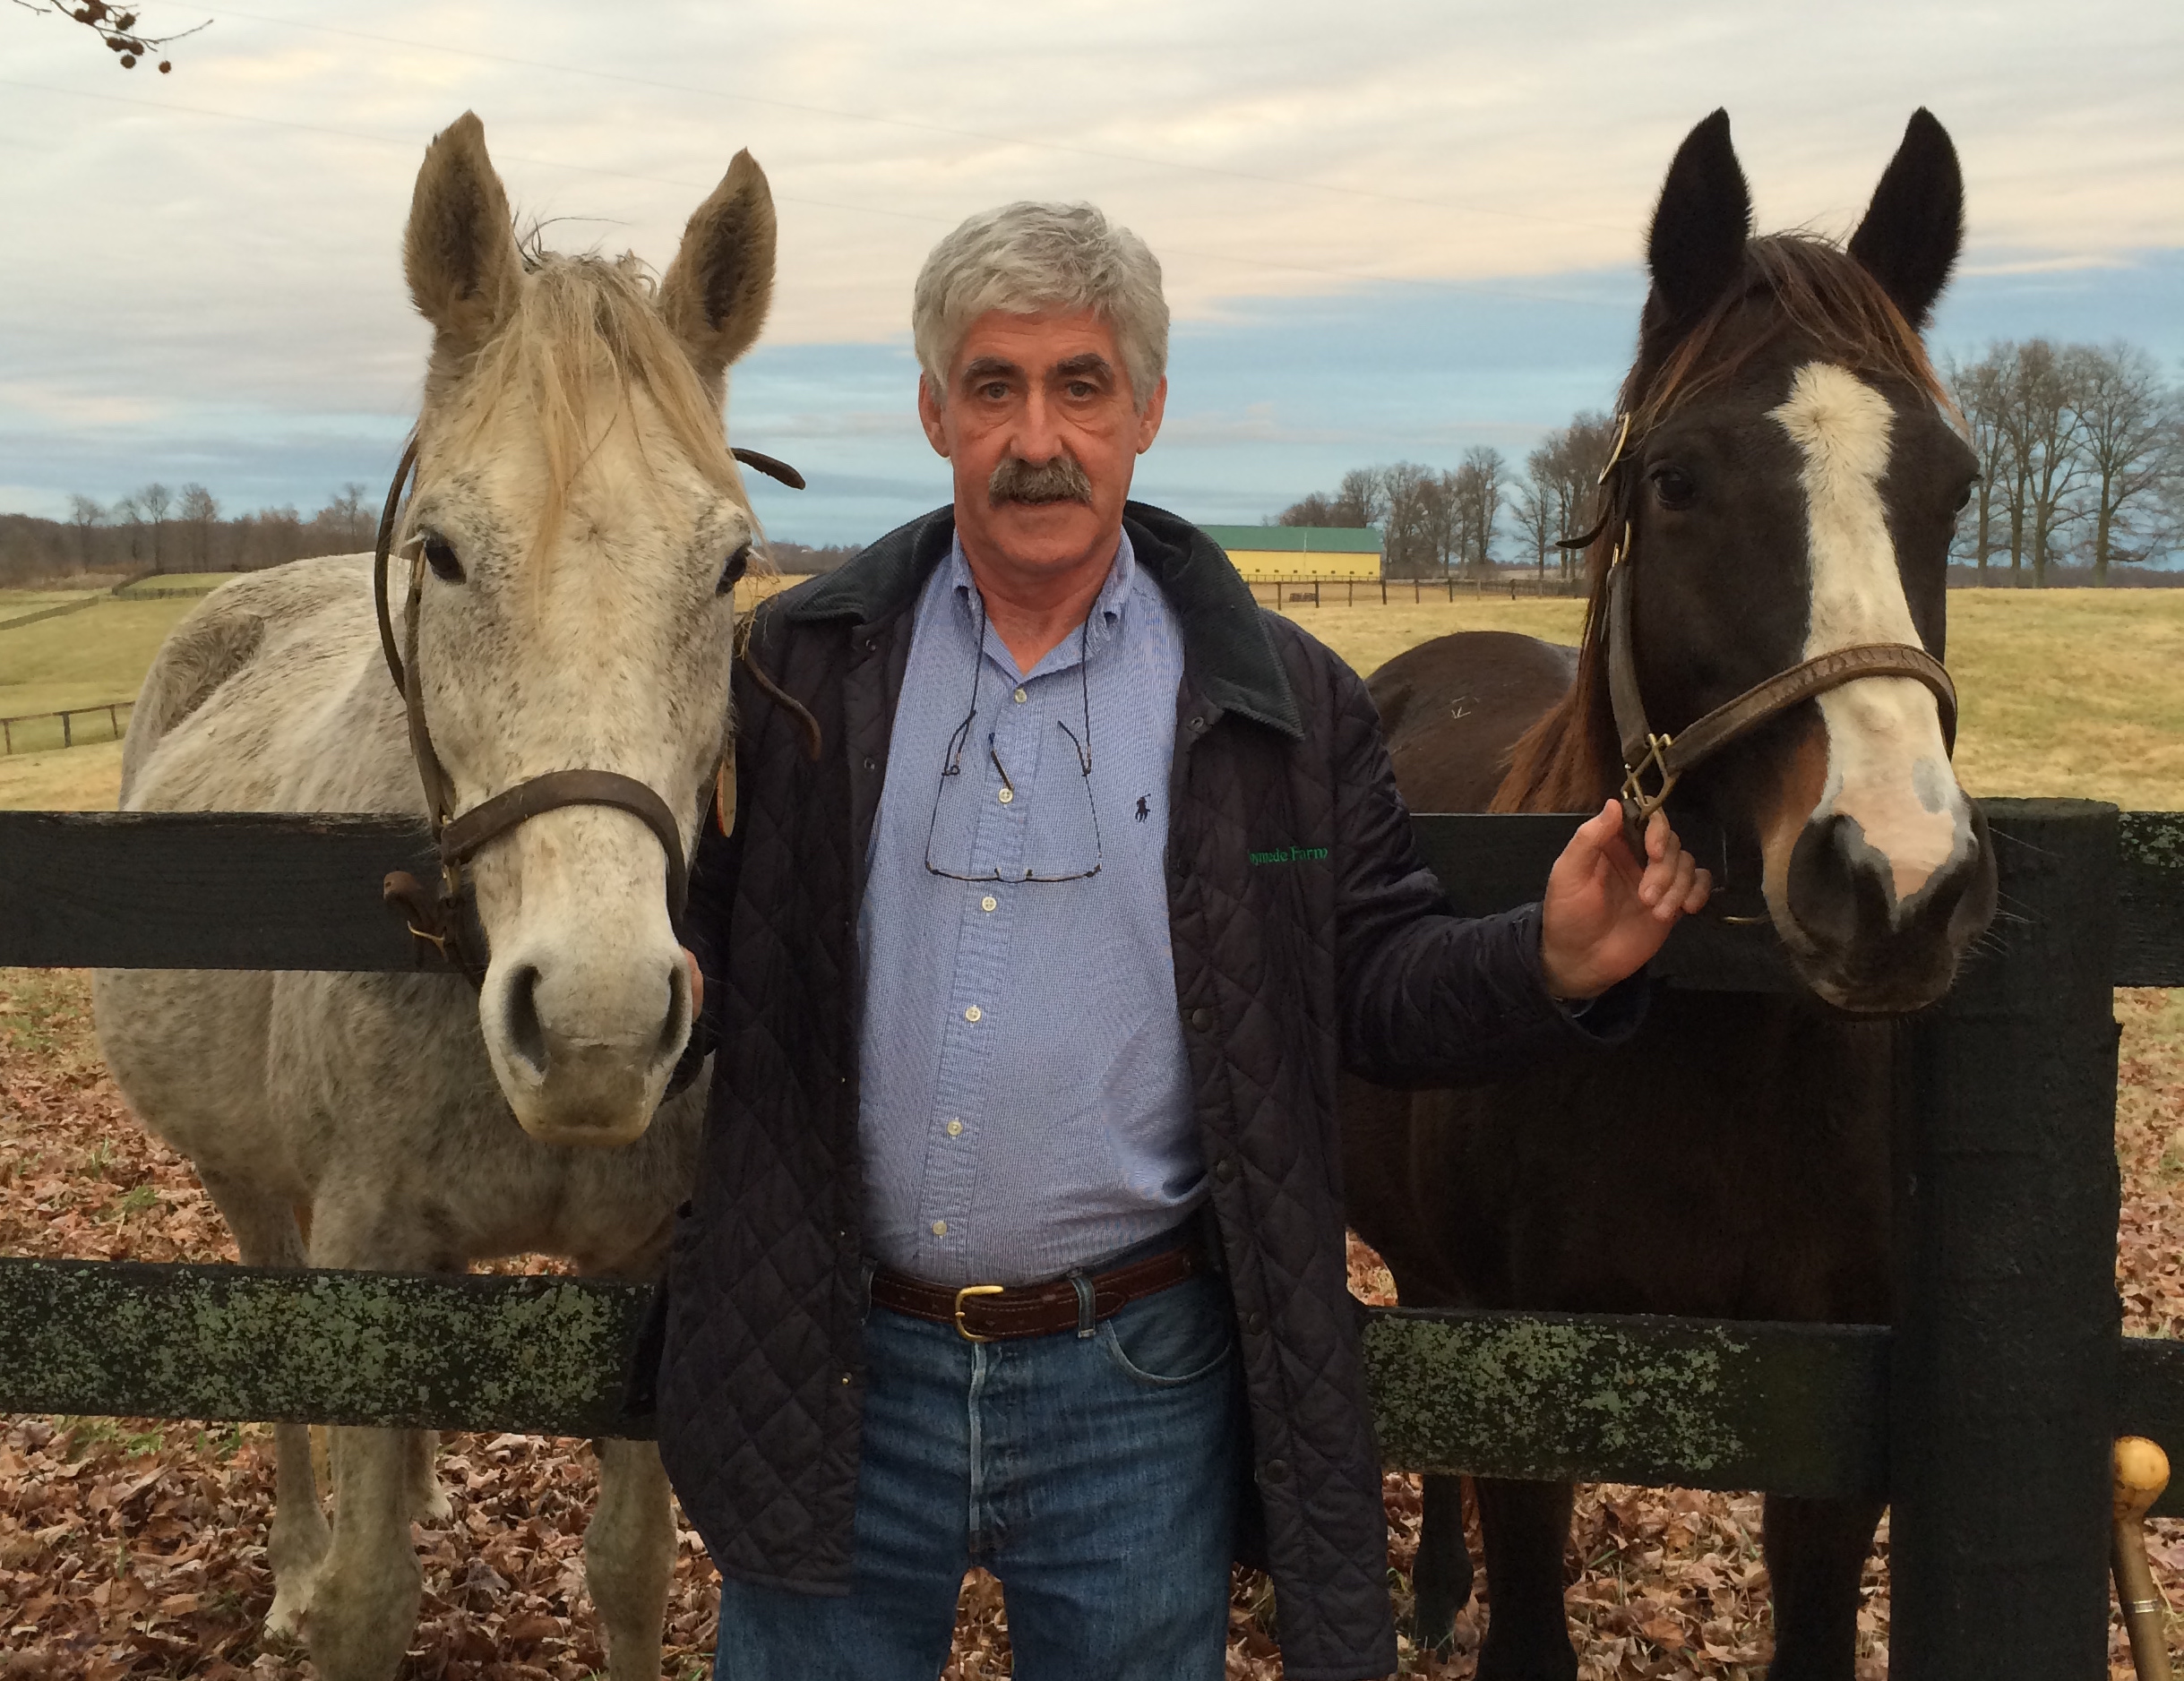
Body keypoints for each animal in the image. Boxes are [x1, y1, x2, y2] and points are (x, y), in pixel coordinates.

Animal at [96, 111, 777, 1668]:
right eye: (443, 552)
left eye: (729, 564)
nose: (595, 1025)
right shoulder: (363, 1247)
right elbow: (370, 1597)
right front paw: (334, 1577)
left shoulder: (643, 1265)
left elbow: (630, 1566)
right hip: (246, 1187)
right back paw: (292, 1559)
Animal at [1345, 105, 2000, 1677]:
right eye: (1676, 482)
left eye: (1951, 486)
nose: (1895, 881)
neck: (1714, 1039)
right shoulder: (1528, 1369)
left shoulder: (1831, 1421)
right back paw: (1434, 1588)